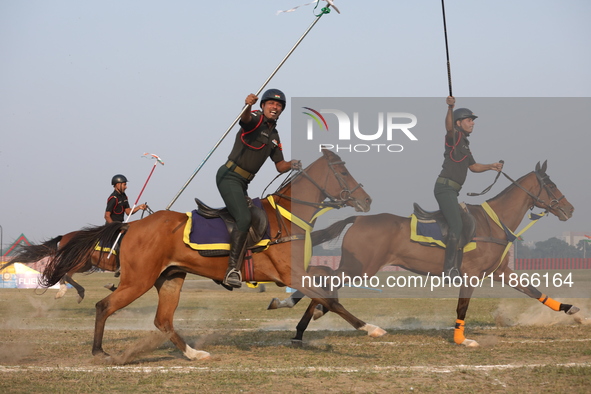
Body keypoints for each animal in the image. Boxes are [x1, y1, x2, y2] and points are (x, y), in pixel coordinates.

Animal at [40, 150, 384, 360]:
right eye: (342, 172)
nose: (367, 200)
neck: (286, 218)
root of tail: (130, 226)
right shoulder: (289, 272)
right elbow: (331, 299)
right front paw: (370, 328)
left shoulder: (299, 271)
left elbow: (326, 288)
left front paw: (297, 313)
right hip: (138, 280)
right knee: (104, 306)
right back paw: (99, 351)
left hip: (170, 278)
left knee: (163, 320)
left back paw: (193, 353)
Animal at [272, 162, 580, 346]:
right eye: (551, 185)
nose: (570, 209)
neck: (494, 222)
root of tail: (357, 218)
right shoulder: (471, 276)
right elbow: (462, 308)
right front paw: (461, 339)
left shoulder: (501, 272)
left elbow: (533, 290)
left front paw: (569, 309)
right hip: (361, 267)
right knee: (323, 278)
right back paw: (303, 312)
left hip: (357, 267)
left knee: (321, 281)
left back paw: (301, 326)